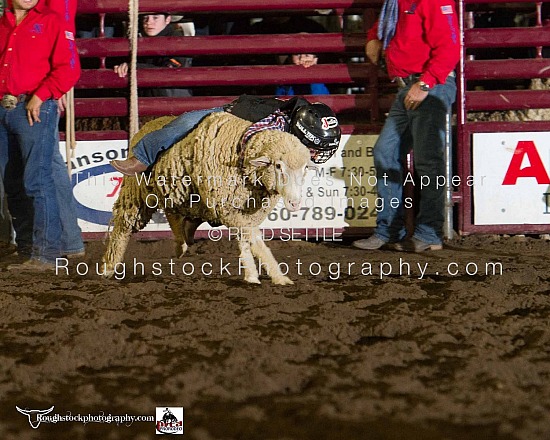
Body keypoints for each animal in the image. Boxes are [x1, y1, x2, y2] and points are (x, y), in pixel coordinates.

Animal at [103, 111, 314, 286]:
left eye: (305, 168)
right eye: (278, 165)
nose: (295, 203)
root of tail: (147, 125)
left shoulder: (246, 212)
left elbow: (247, 239)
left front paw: (252, 275)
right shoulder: (227, 208)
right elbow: (254, 240)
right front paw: (278, 277)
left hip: (176, 192)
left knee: (173, 214)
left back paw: (181, 243)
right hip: (137, 193)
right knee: (123, 226)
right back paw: (108, 267)